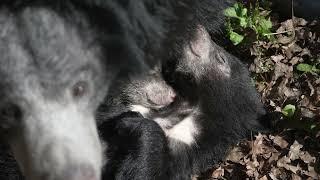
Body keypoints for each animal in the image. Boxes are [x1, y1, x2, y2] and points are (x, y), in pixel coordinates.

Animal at [0, 0, 268, 180]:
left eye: (221, 60)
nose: (199, 28)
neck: (180, 113)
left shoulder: (177, 159)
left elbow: (138, 170)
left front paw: (131, 123)